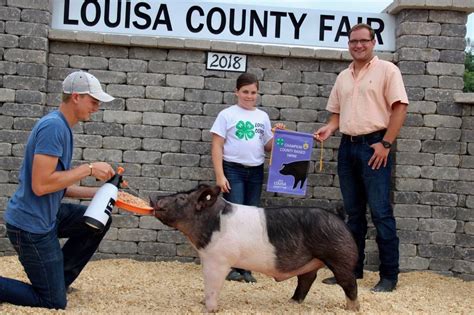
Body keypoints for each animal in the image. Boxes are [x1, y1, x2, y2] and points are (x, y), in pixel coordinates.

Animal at [150, 184, 358, 312]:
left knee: (349, 283)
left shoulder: (218, 259)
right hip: (310, 262)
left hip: (340, 257)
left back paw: (352, 309)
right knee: (307, 279)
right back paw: (291, 302)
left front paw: (207, 308)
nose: (153, 197)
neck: (212, 222)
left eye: (182, 198)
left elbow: (212, 285)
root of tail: (340, 218)